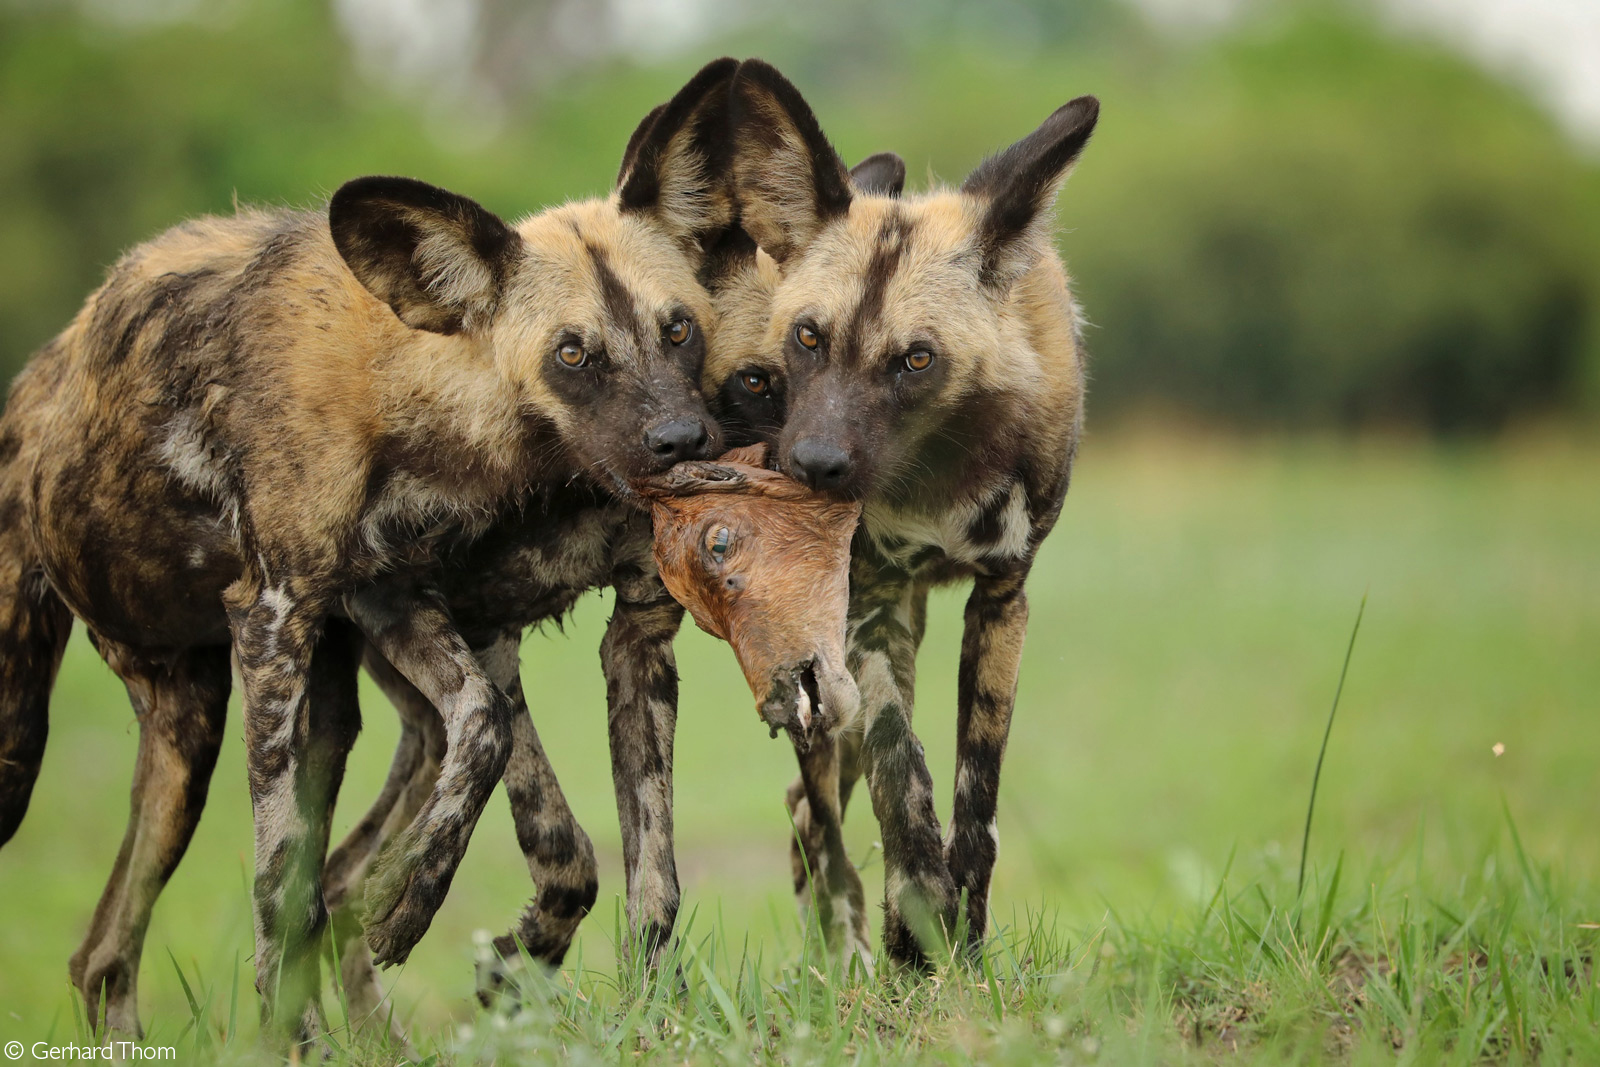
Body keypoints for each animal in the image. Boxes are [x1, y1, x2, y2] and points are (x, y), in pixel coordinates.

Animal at [0, 60, 739, 1043]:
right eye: (573, 354)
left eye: (679, 328)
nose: (684, 440)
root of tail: (39, 374)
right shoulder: (288, 620)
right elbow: (286, 878)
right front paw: (346, 984)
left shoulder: (481, 618)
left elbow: (632, 862)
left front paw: (644, 1015)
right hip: (35, 743)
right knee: (249, 903)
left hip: (231, 729)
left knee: (114, 948)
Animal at [716, 58, 1100, 966]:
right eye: (808, 337)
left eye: (915, 361)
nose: (813, 465)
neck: (936, 469)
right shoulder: (873, 601)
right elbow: (902, 766)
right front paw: (919, 910)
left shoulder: (1001, 600)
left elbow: (976, 796)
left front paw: (962, 935)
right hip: (828, 679)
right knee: (814, 811)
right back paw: (846, 951)